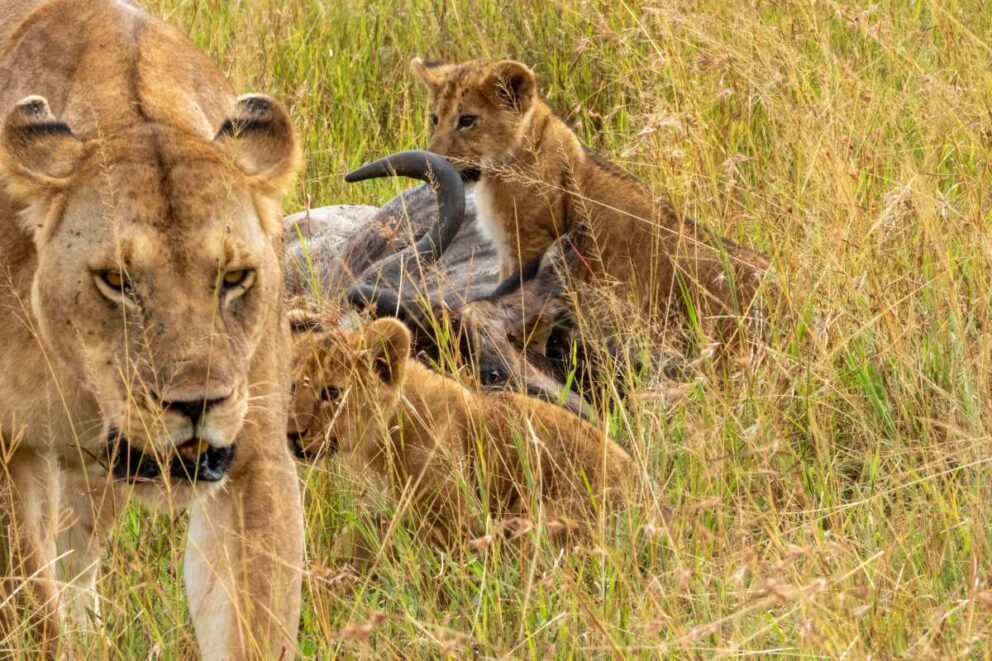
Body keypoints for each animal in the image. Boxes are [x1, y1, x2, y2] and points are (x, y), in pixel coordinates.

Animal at [0, 1, 303, 657]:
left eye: (233, 277)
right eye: (116, 280)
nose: (196, 405)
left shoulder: (255, 455)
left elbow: (255, 622)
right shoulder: (7, 449)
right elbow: (32, 615)